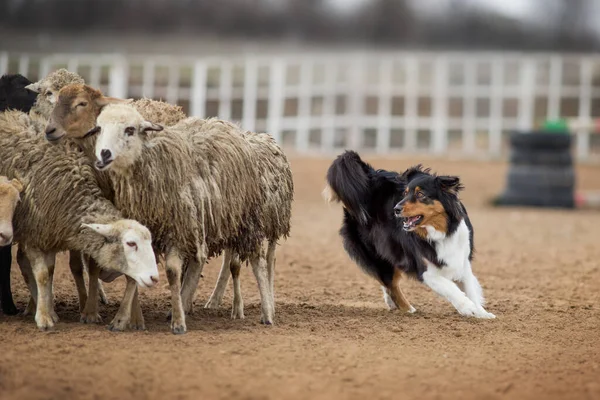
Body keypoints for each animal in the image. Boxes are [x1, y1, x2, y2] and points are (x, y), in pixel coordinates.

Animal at [0, 110, 159, 332]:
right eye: (130, 244)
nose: (154, 277)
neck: (70, 193)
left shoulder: (52, 235)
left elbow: (50, 271)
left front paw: (49, 309)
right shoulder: (35, 235)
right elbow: (42, 275)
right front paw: (45, 317)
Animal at [326, 151, 494, 318]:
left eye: (420, 194)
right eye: (405, 193)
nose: (396, 209)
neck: (441, 232)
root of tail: (369, 175)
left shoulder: (462, 262)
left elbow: (471, 289)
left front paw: (482, 313)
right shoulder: (426, 271)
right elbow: (451, 288)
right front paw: (468, 308)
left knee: (388, 283)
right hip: (379, 250)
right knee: (391, 283)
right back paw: (407, 309)